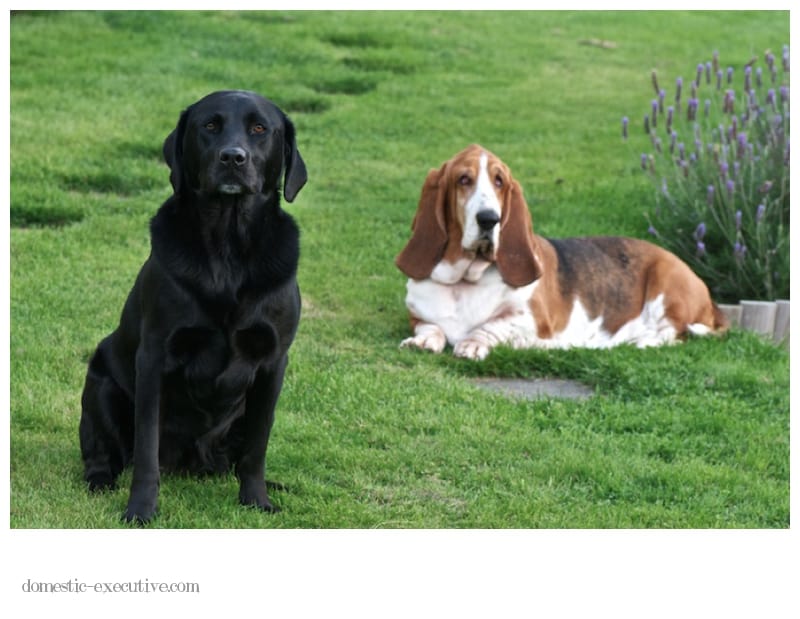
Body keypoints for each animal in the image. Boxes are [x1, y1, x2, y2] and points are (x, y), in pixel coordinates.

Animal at [78, 92, 308, 524]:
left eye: (259, 128)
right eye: (210, 126)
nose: (232, 157)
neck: (228, 249)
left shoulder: (273, 362)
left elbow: (257, 449)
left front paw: (257, 500)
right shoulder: (154, 356)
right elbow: (146, 452)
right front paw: (140, 509)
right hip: (100, 388)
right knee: (104, 454)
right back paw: (100, 482)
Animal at [396, 145, 728, 360]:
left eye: (499, 181)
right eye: (463, 179)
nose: (489, 219)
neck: (465, 280)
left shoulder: (531, 318)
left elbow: (491, 325)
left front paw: (473, 343)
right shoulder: (418, 315)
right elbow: (431, 327)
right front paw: (423, 341)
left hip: (666, 280)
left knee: (672, 334)